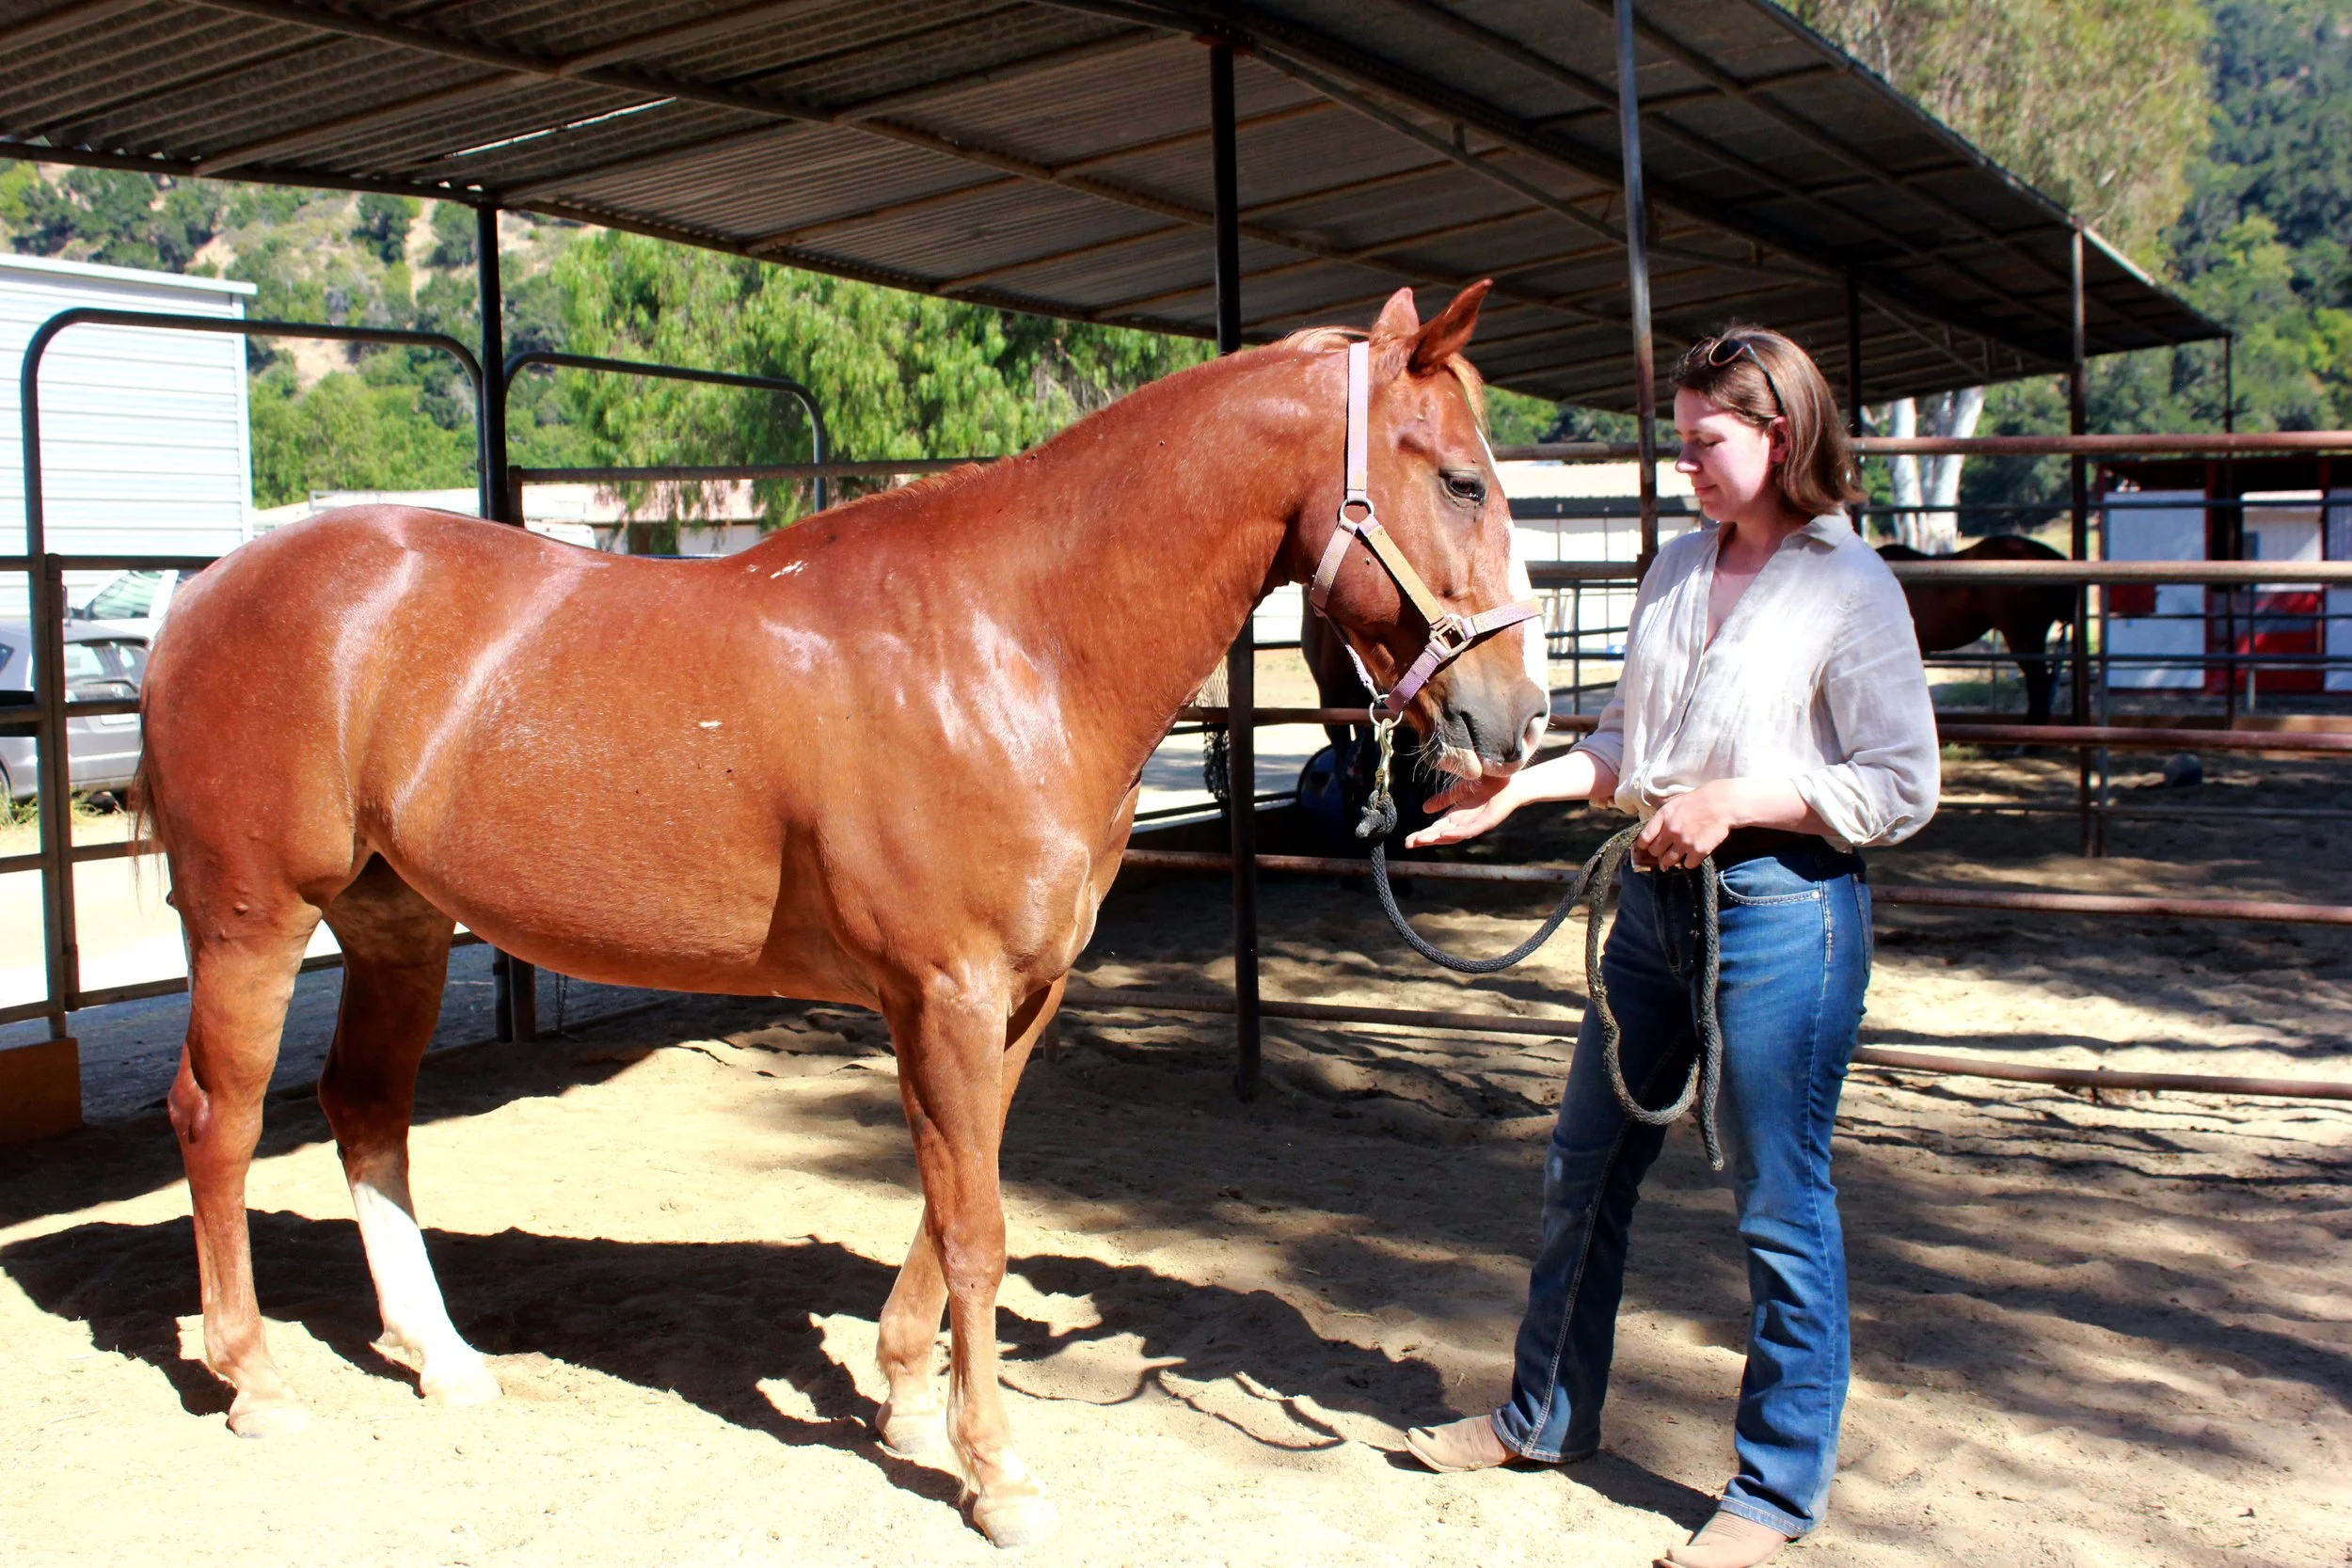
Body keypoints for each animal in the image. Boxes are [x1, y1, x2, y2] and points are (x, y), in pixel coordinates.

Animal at [133, 283, 1546, 1548]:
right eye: (1459, 481)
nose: (1514, 721)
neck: (1012, 644)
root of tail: (201, 593)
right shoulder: (949, 992)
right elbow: (976, 1227)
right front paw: (997, 1474)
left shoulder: (1012, 998)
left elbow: (953, 1198)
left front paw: (910, 1397)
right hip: (254, 920)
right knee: (221, 1117)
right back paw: (255, 1378)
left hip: (397, 925)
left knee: (366, 1110)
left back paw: (445, 1357)